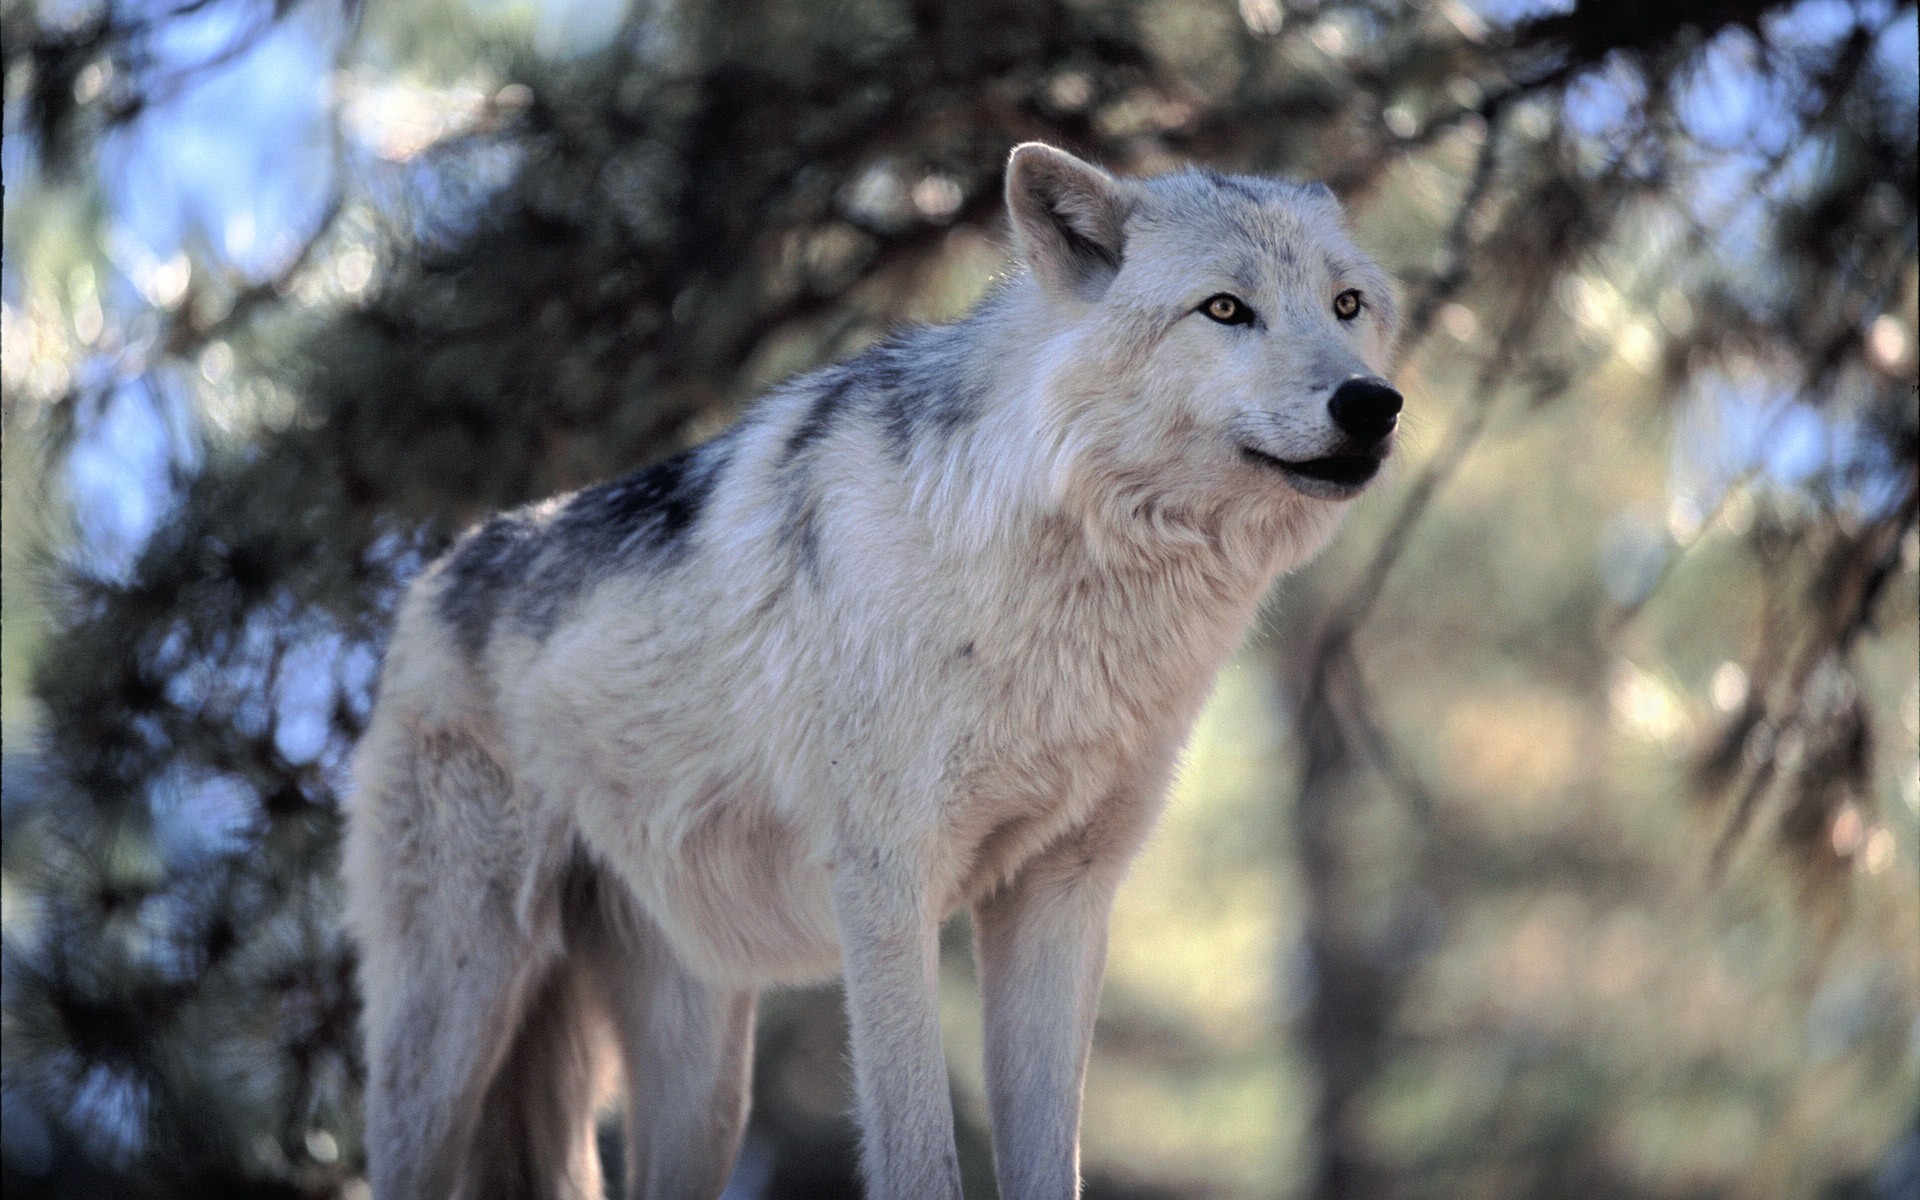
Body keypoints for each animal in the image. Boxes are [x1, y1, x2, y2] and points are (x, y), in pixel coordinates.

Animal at [341, 143, 1397, 1198]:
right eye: (1225, 308)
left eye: (1346, 305)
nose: (1373, 403)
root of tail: (426, 581)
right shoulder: (886, 886)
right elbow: (920, 1153)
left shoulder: (1061, 896)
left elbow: (1050, 1162)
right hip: (453, 1028)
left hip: (702, 1085)